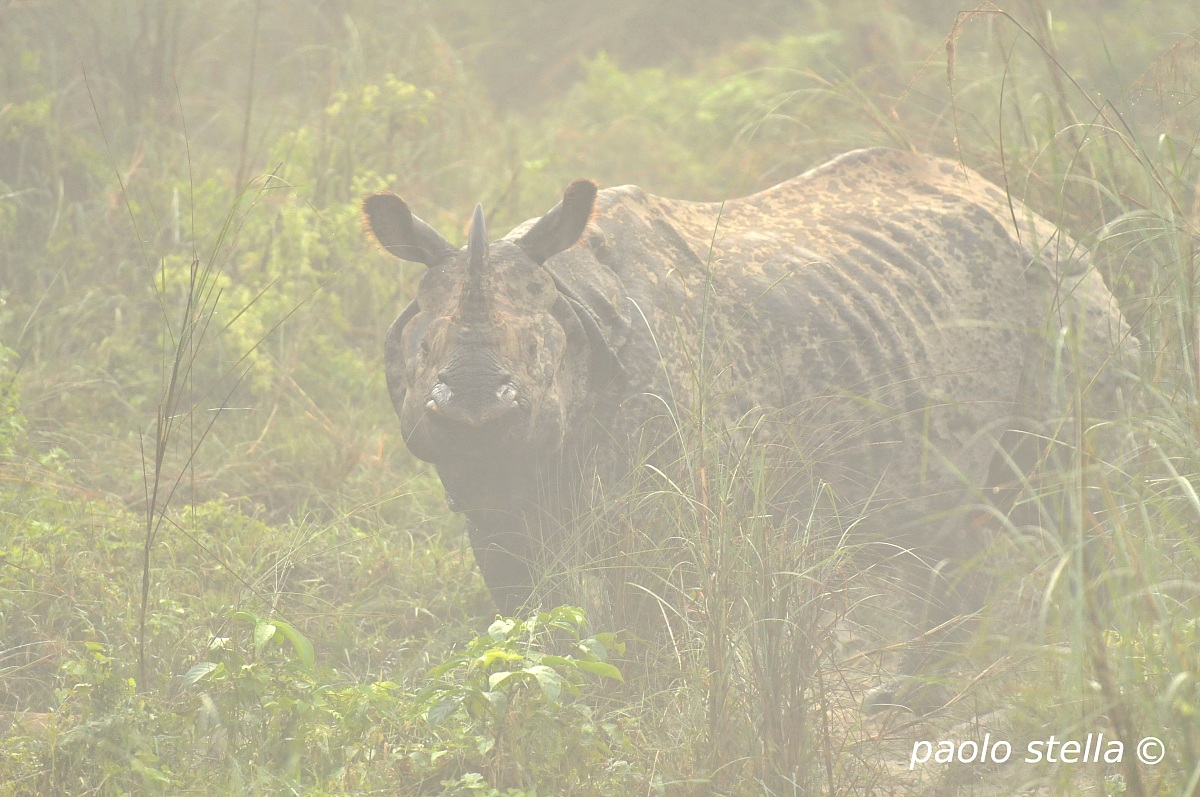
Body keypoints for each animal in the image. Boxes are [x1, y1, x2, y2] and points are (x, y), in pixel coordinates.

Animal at [363, 148, 1139, 663]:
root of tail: (1035, 213)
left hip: (1064, 296)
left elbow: (650, 619)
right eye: (422, 346)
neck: (572, 301)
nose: (472, 402)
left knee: (1072, 497)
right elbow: (526, 611)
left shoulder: (666, 501)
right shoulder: (490, 501)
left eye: (536, 352)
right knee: (952, 530)